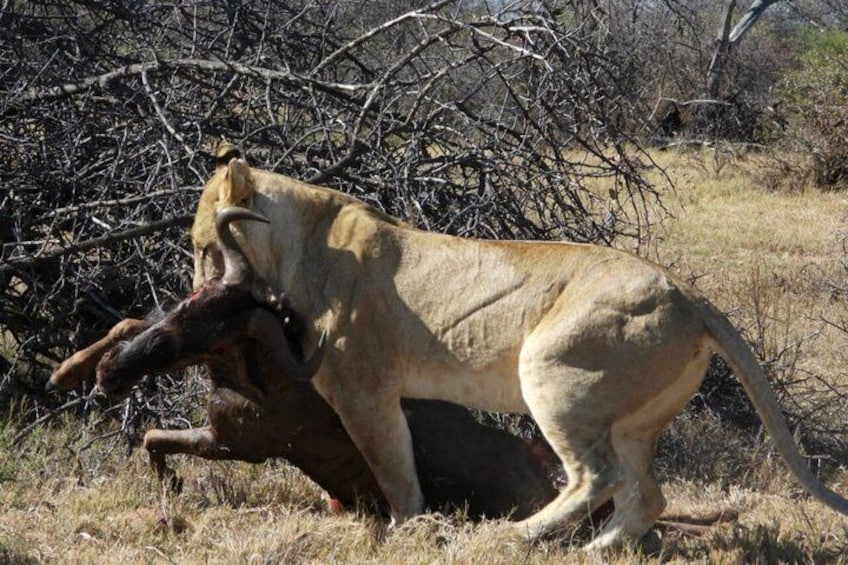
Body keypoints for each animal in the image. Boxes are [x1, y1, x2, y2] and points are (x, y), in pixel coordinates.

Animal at [190, 143, 848, 550]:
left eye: (200, 246)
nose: (194, 291)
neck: (301, 243)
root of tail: (688, 294)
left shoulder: (363, 391)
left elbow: (393, 466)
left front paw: (408, 529)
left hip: (553, 372)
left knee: (596, 479)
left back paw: (514, 537)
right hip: (635, 420)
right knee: (647, 496)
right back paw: (593, 551)